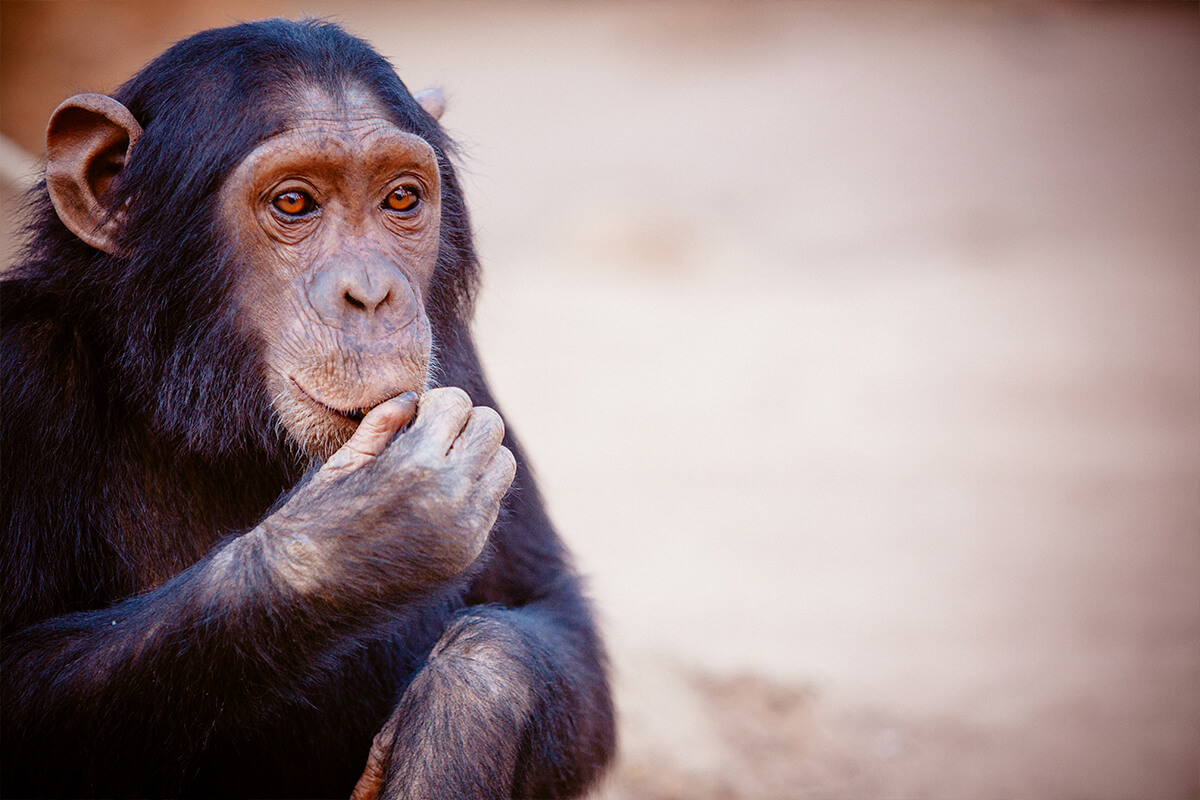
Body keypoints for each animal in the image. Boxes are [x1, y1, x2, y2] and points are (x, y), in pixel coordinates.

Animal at [0, 18, 614, 800]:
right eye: (294, 204)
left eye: (401, 199)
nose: (372, 293)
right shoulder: (17, 374)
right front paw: (367, 524)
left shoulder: (459, 360)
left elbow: (548, 611)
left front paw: (458, 722)